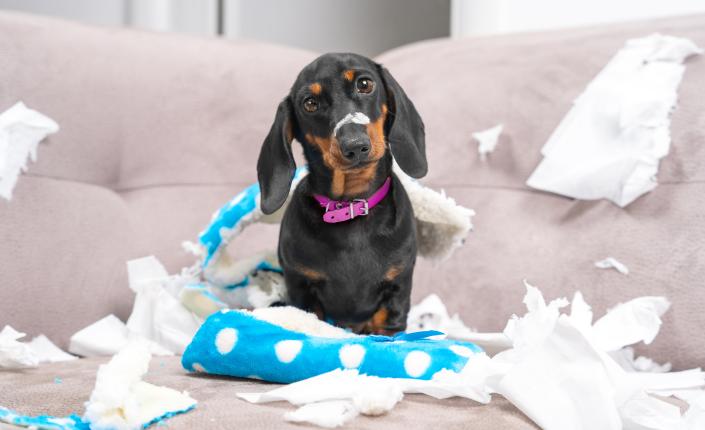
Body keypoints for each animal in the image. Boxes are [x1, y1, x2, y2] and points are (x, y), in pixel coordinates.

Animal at [258, 53, 426, 336]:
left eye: (365, 84)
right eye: (310, 103)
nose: (355, 146)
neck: (351, 206)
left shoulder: (397, 289)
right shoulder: (301, 286)